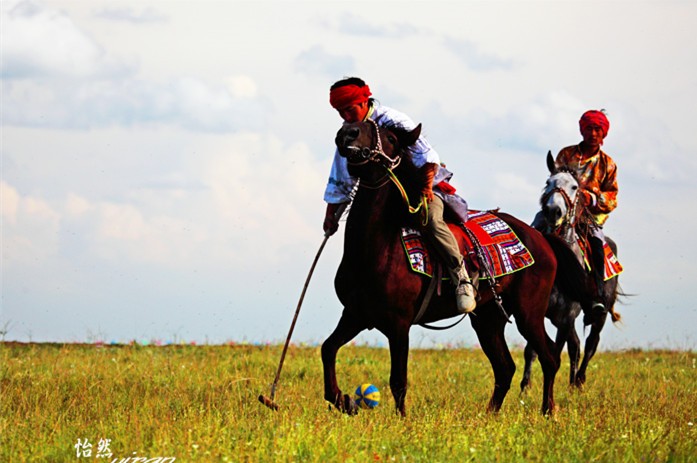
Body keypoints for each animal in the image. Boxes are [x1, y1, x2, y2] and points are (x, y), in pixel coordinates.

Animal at [320, 121, 564, 418]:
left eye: (390, 138)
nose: (348, 134)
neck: (375, 250)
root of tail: (541, 239)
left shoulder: (399, 324)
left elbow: (398, 380)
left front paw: (401, 420)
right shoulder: (356, 315)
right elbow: (328, 349)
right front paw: (343, 400)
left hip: (529, 313)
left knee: (549, 357)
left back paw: (548, 411)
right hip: (488, 318)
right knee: (505, 367)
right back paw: (489, 416)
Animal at [520, 153, 624, 392]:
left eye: (575, 187)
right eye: (548, 182)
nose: (553, 211)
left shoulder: (567, 317)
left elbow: (555, 353)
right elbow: (531, 350)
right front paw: (525, 387)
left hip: (599, 314)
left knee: (590, 344)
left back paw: (579, 381)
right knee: (576, 345)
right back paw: (571, 384)